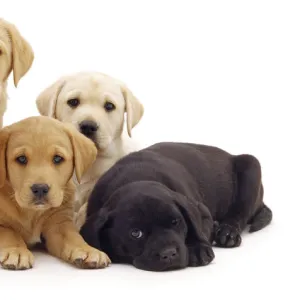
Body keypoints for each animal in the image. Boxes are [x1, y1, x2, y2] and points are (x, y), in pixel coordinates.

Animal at [0, 116, 110, 270]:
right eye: (21, 159)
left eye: (58, 158)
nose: (40, 188)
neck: (32, 213)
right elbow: (9, 233)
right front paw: (16, 251)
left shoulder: (60, 223)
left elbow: (73, 237)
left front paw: (87, 250)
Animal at [79, 142, 272, 270]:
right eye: (135, 233)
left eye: (176, 222)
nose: (169, 253)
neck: (136, 176)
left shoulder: (201, 211)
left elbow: (198, 228)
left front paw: (198, 249)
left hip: (251, 166)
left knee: (239, 214)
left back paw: (227, 231)